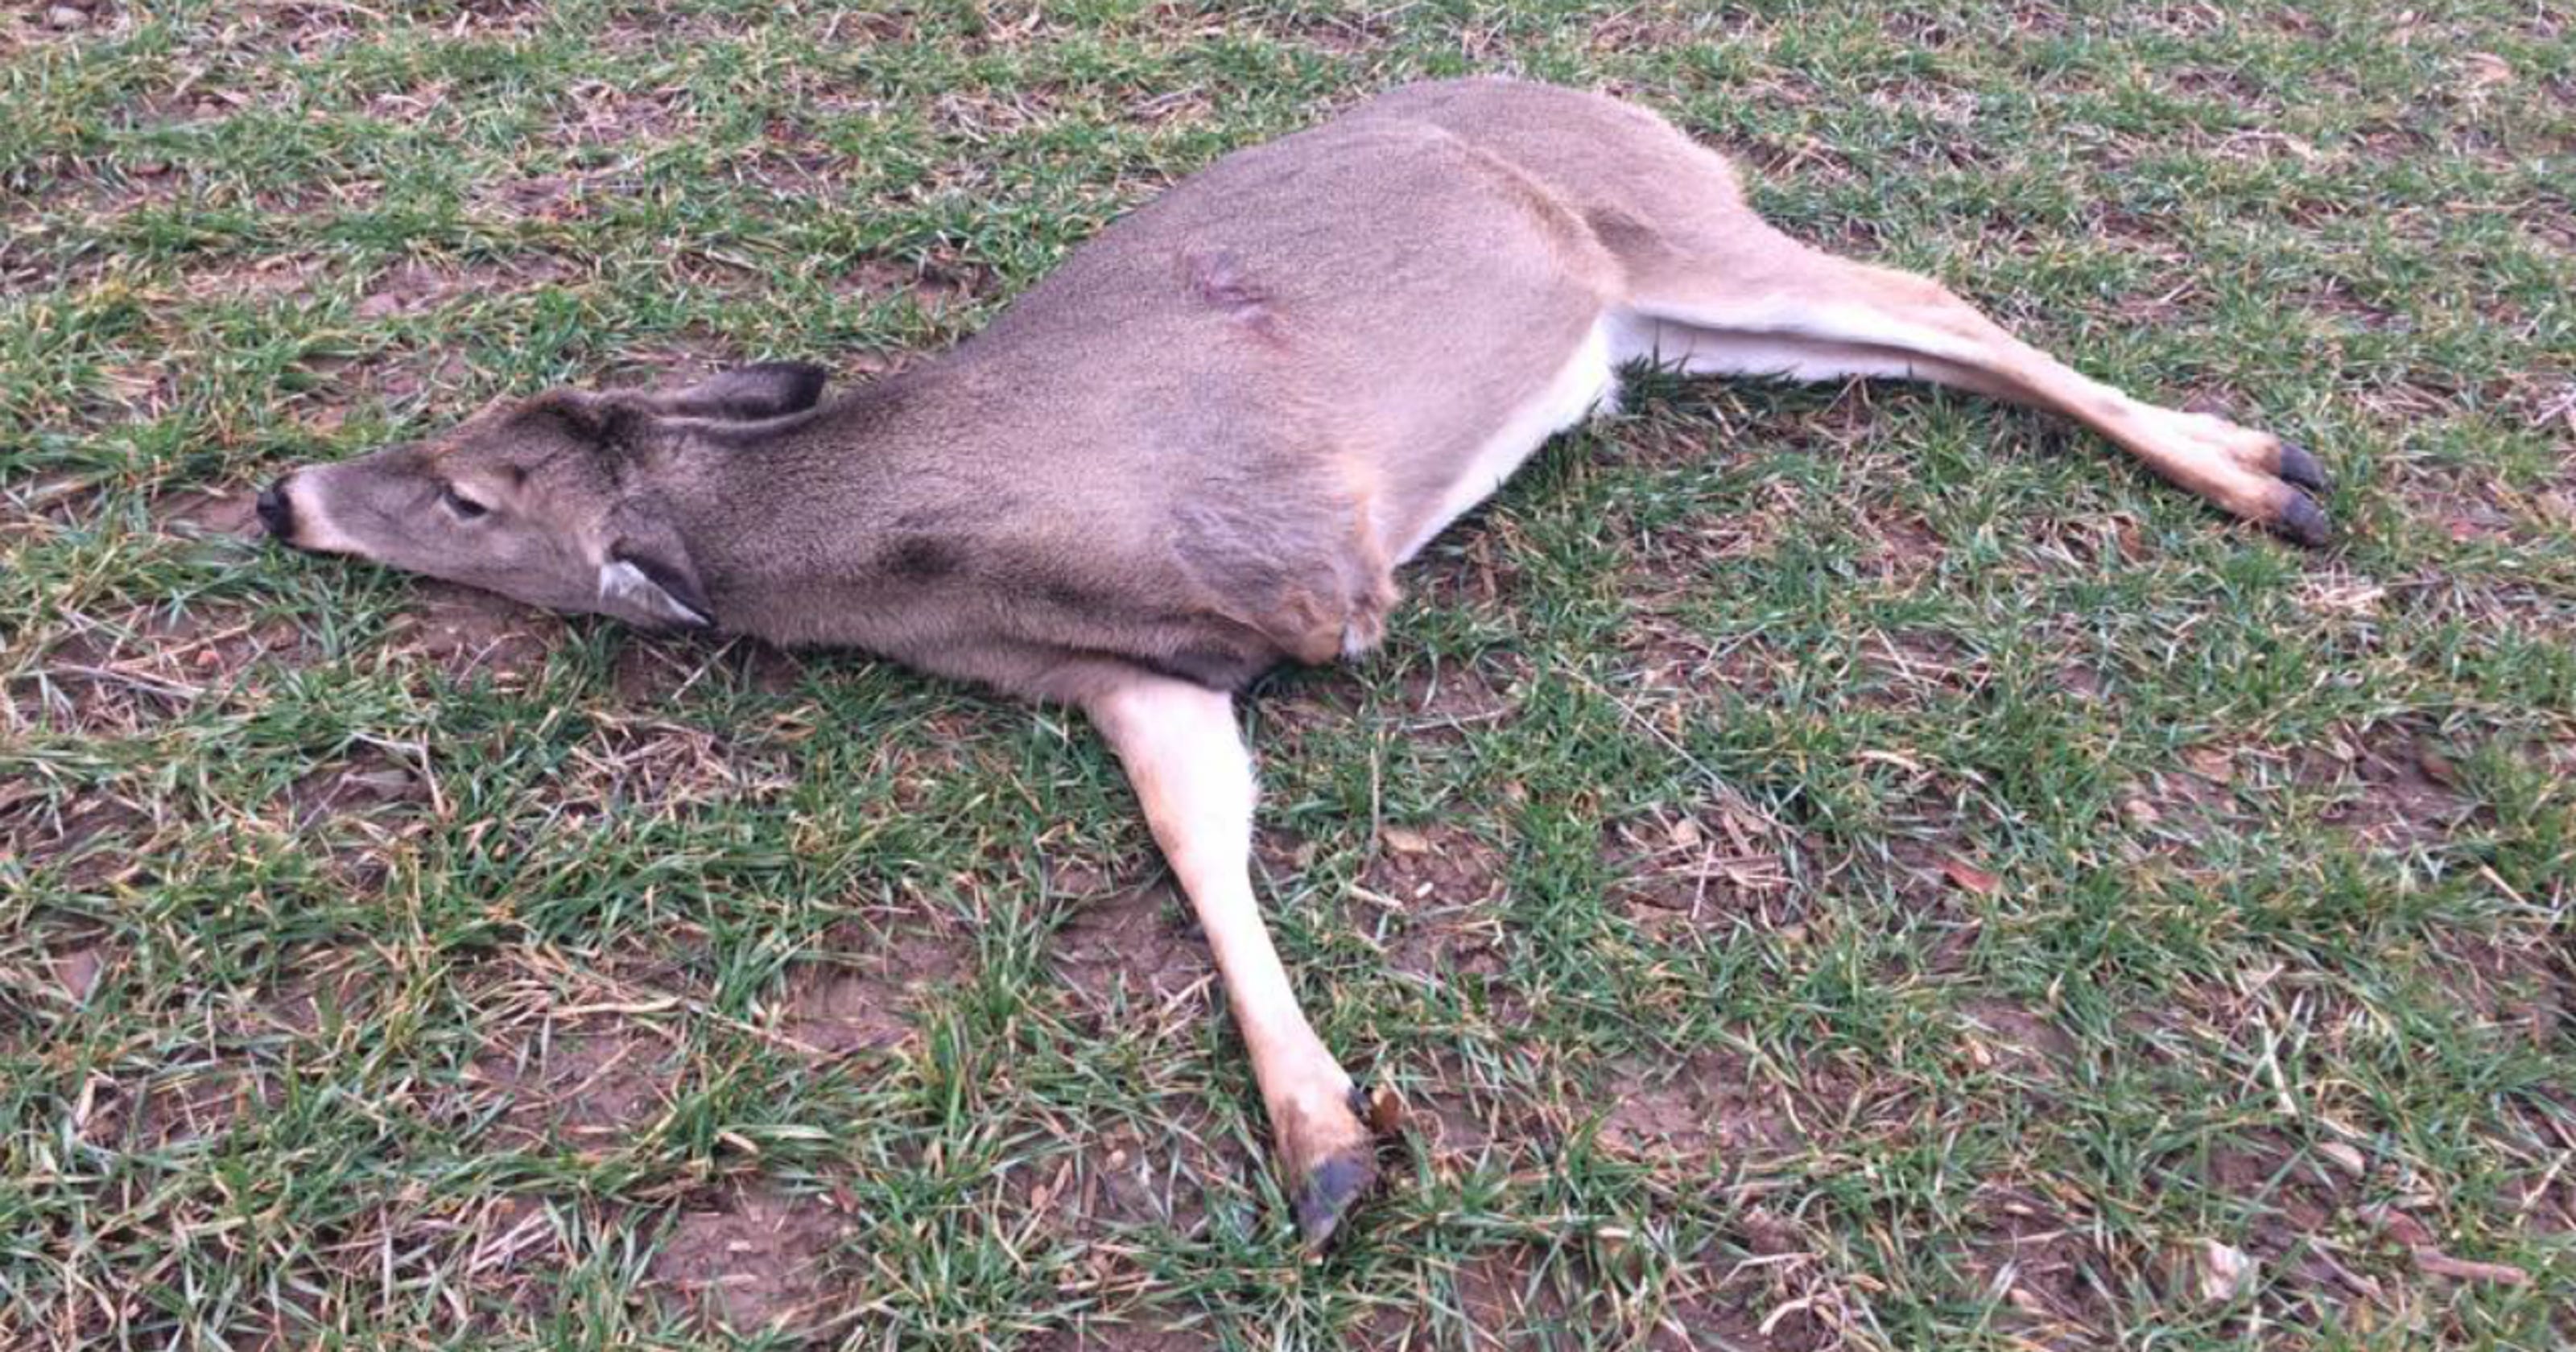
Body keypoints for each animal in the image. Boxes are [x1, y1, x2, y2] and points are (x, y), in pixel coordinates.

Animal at [256, 77, 2331, 1247]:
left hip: (1676, 233)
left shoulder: (1290, 555)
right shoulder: (1127, 679)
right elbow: (1196, 839)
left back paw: (2273, 476)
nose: (282, 497)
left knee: (1928, 297)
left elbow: (1291, 681)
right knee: (1905, 337)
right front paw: (1326, 1143)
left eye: (465, 494)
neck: (902, 547)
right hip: (1671, 324)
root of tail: (1605, 91)